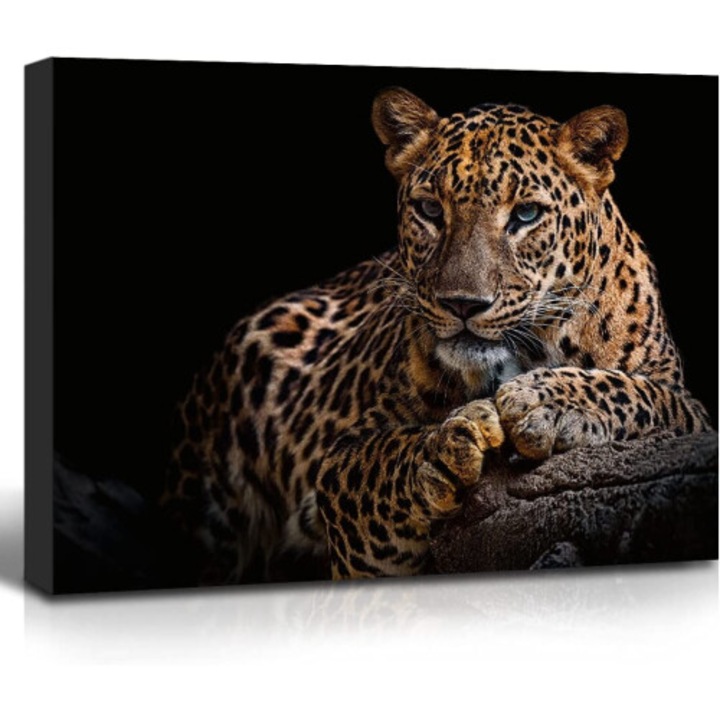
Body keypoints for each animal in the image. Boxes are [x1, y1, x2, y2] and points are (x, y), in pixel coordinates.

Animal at [162, 87, 712, 583]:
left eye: (526, 214)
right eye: (429, 210)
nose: (462, 304)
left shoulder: (688, 409)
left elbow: (639, 393)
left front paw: (545, 402)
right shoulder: (340, 462)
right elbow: (376, 461)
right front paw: (443, 451)